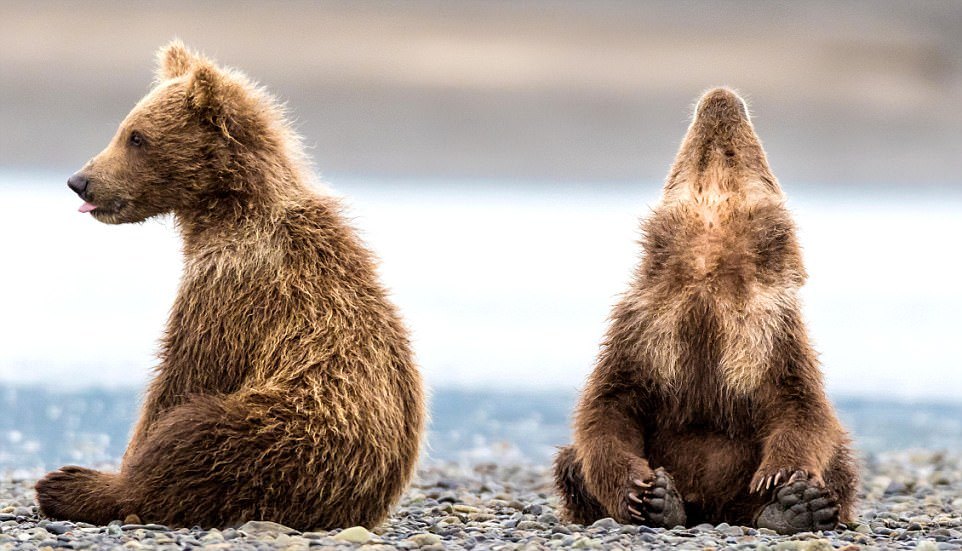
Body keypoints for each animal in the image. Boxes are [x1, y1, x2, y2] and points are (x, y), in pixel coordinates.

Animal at [39, 41, 424, 532]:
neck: (226, 213)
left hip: (297, 436)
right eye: (125, 129)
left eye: (136, 137)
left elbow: (181, 378)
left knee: (198, 439)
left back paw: (70, 484)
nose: (80, 181)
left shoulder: (234, 286)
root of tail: (363, 508)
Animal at [552, 89, 860, 536]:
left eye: (746, 150)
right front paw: (640, 490)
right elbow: (609, 407)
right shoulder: (642, 326)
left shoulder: (773, 331)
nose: (721, 96)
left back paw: (797, 507)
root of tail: (713, 510)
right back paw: (665, 503)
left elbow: (800, 405)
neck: (709, 269)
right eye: (688, 150)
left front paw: (783, 478)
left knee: (840, 462)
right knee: (569, 463)